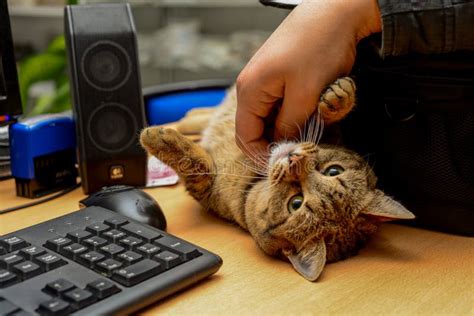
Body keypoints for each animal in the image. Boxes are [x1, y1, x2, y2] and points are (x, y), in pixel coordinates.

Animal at [139, 78, 412, 280]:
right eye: (333, 171)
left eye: (296, 203)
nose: (293, 160)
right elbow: (324, 122)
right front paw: (338, 98)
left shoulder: (206, 189)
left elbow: (196, 166)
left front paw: (158, 138)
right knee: (197, 114)